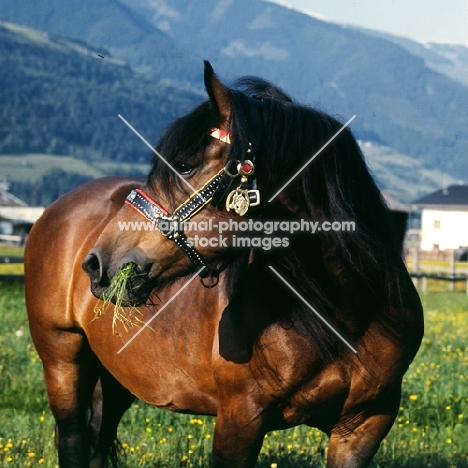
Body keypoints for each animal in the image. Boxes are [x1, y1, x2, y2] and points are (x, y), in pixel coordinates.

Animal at [23, 62, 422, 468]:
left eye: (184, 165)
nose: (97, 263)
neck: (347, 313)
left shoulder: (363, 427)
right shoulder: (240, 417)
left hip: (115, 373)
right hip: (62, 358)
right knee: (73, 438)